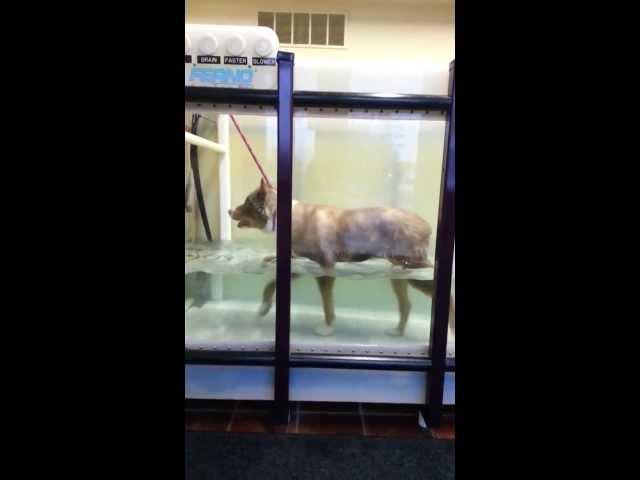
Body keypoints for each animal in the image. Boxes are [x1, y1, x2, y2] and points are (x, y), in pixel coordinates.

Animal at [230, 178, 436, 336]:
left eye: (247, 202)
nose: (228, 211)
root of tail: (426, 225)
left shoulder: (326, 266)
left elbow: (327, 303)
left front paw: (327, 328)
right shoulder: (299, 263)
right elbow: (271, 283)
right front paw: (264, 307)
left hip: (413, 267)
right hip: (400, 272)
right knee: (406, 304)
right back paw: (397, 331)